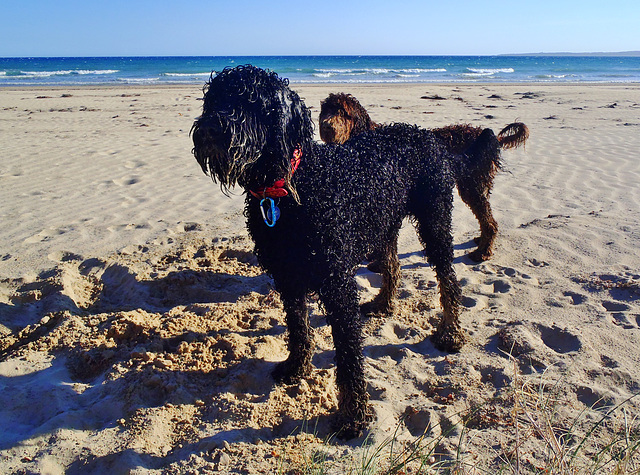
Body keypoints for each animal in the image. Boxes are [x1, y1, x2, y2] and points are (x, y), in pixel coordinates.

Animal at [190, 64, 496, 438]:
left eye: (250, 101)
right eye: (212, 99)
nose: (208, 128)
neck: (292, 187)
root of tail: (430, 138)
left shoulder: (337, 284)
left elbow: (349, 357)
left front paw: (353, 416)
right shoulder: (287, 276)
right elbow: (298, 329)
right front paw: (296, 367)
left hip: (435, 221)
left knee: (449, 280)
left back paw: (451, 332)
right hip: (384, 222)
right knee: (392, 265)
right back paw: (383, 303)